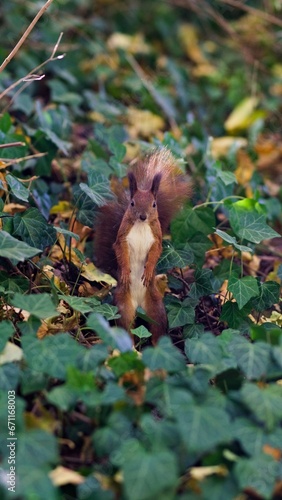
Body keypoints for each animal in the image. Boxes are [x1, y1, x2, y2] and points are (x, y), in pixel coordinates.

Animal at [95, 148, 192, 344]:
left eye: (154, 204)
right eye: (132, 203)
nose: (142, 216)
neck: (140, 226)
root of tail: (139, 303)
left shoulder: (156, 239)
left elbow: (156, 253)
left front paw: (148, 271)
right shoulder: (122, 238)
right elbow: (119, 251)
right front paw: (125, 271)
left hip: (157, 307)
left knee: (157, 328)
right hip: (123, 306)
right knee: (126, 327)